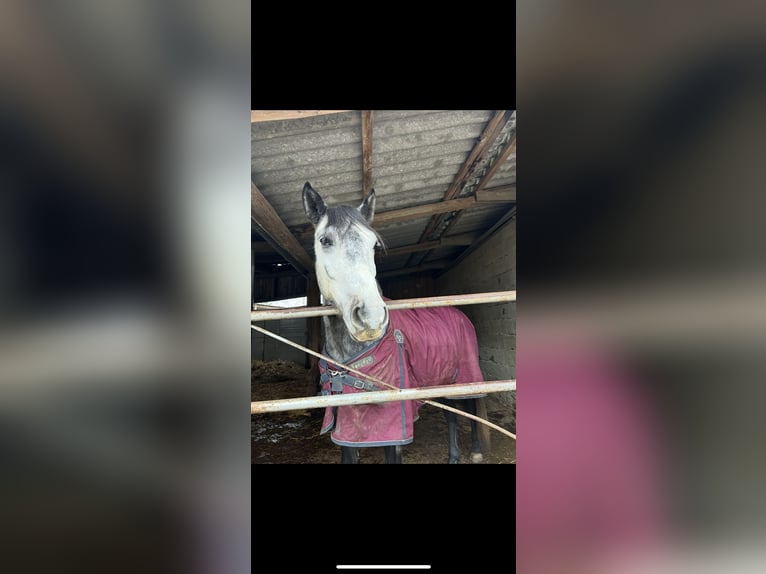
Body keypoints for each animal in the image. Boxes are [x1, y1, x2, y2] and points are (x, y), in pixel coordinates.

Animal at [302, 181, 488, 464]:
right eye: (325, 240)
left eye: (374, 246)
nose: (371, 317)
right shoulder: (347, 426)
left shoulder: (394, 429)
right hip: (441, 378)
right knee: (451, 413)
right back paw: (453, 456)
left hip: (465, 377)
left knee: (470, 406)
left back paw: (476, 451)